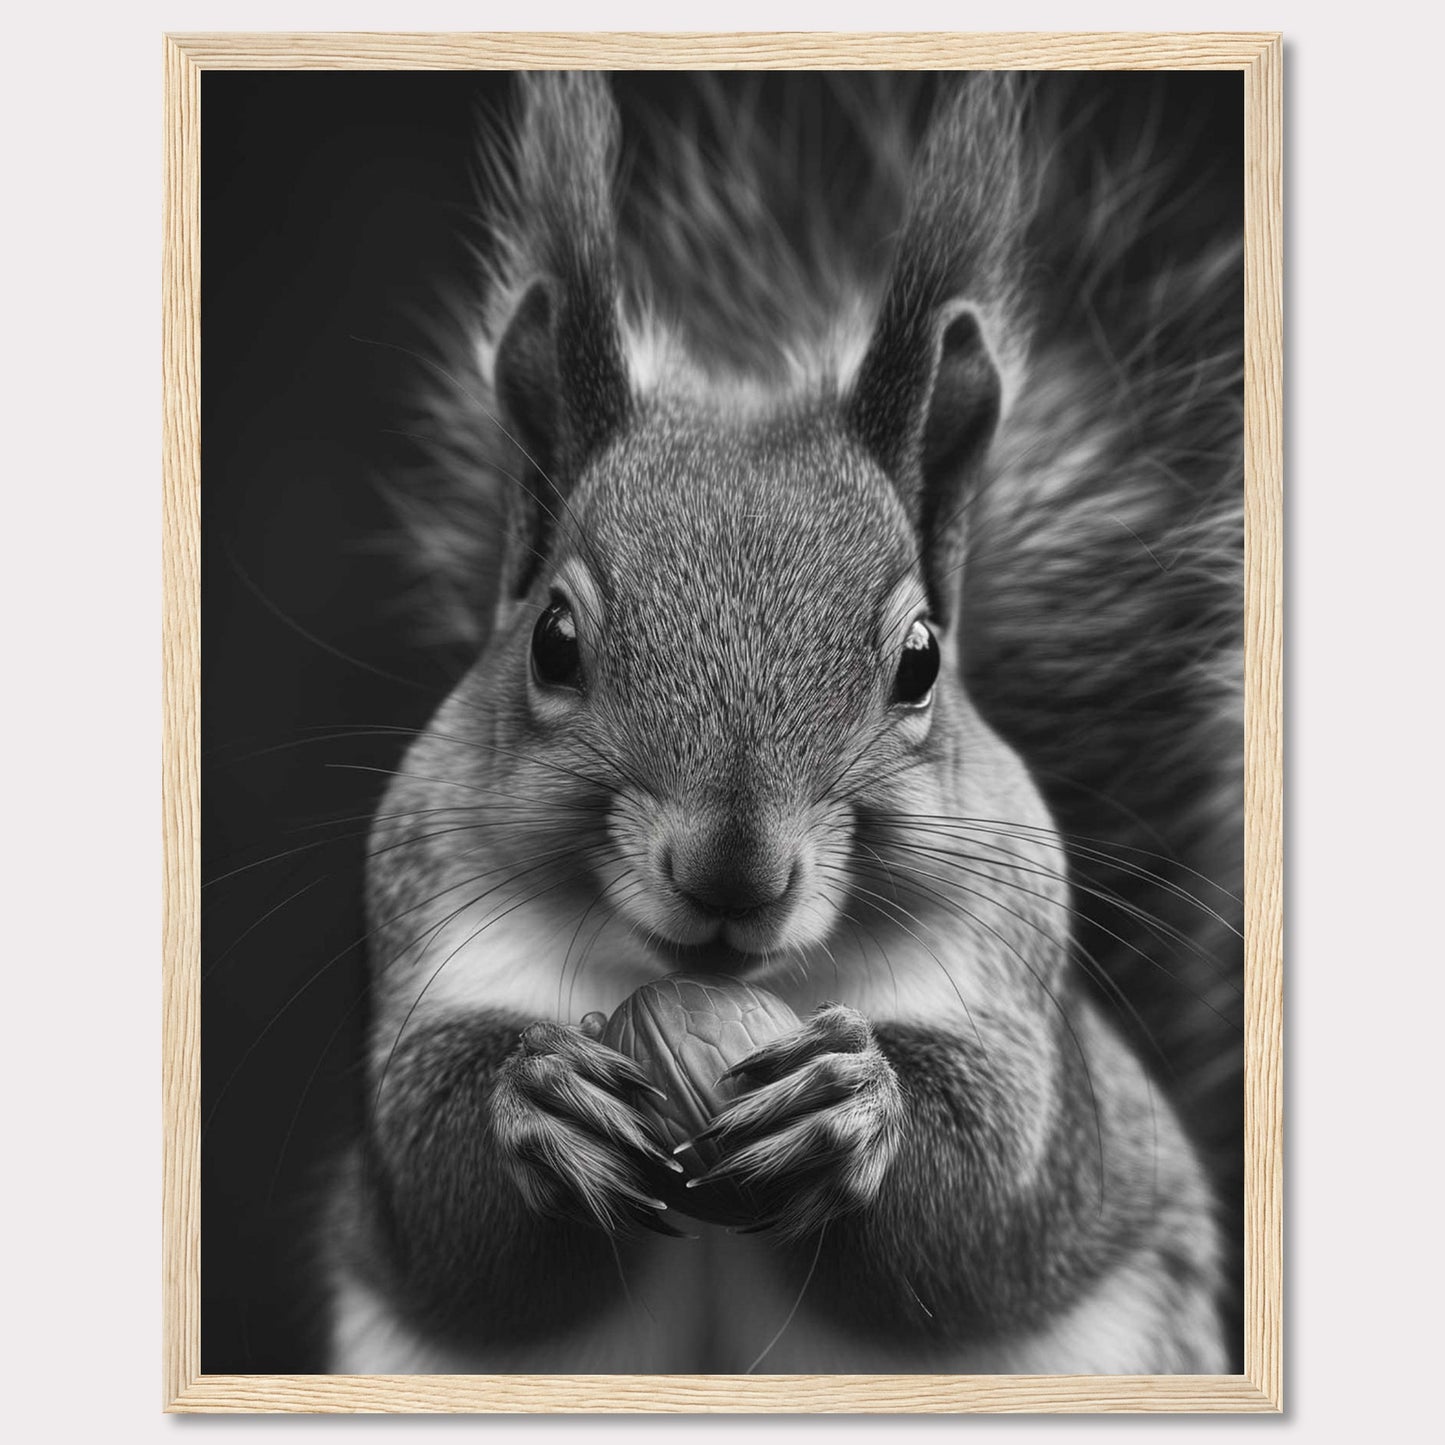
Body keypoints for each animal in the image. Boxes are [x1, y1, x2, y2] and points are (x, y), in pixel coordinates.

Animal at [325, 70, 1242, 1375]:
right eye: (551, 639)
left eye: (918, 662)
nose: (733, 873)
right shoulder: (426, 942)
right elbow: (446, 1214)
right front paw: (538, 1100)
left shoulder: (1018, 1011)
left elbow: (986, 1212)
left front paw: (856, 1110)